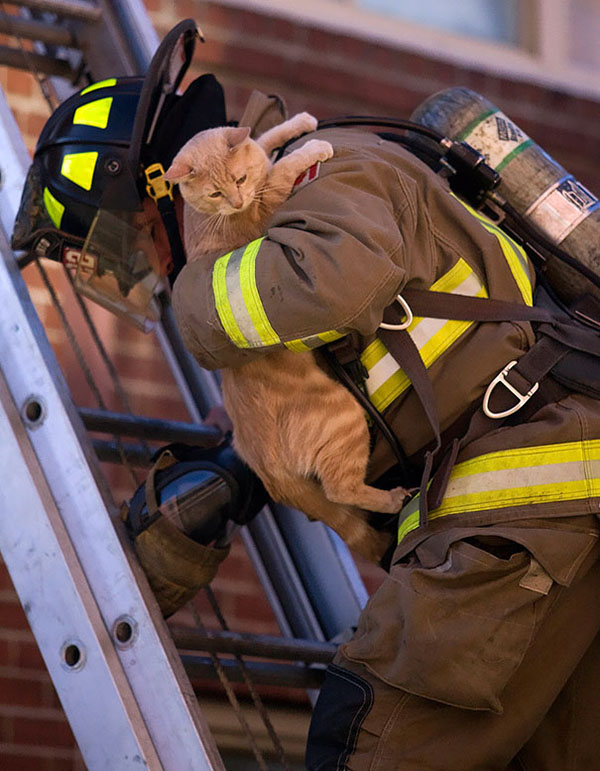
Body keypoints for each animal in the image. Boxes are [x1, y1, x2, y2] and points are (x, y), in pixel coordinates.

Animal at [166, 113, 406, 560]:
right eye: (215, 192)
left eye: (238, 179)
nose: (236, 202)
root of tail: (263, 465)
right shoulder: (269, 207)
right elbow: (283, 168)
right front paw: (312, 148)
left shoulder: (257, 168)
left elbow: (264, 141)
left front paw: (298, 124)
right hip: (347, 417)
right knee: (340, 488)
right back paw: (393, 499)